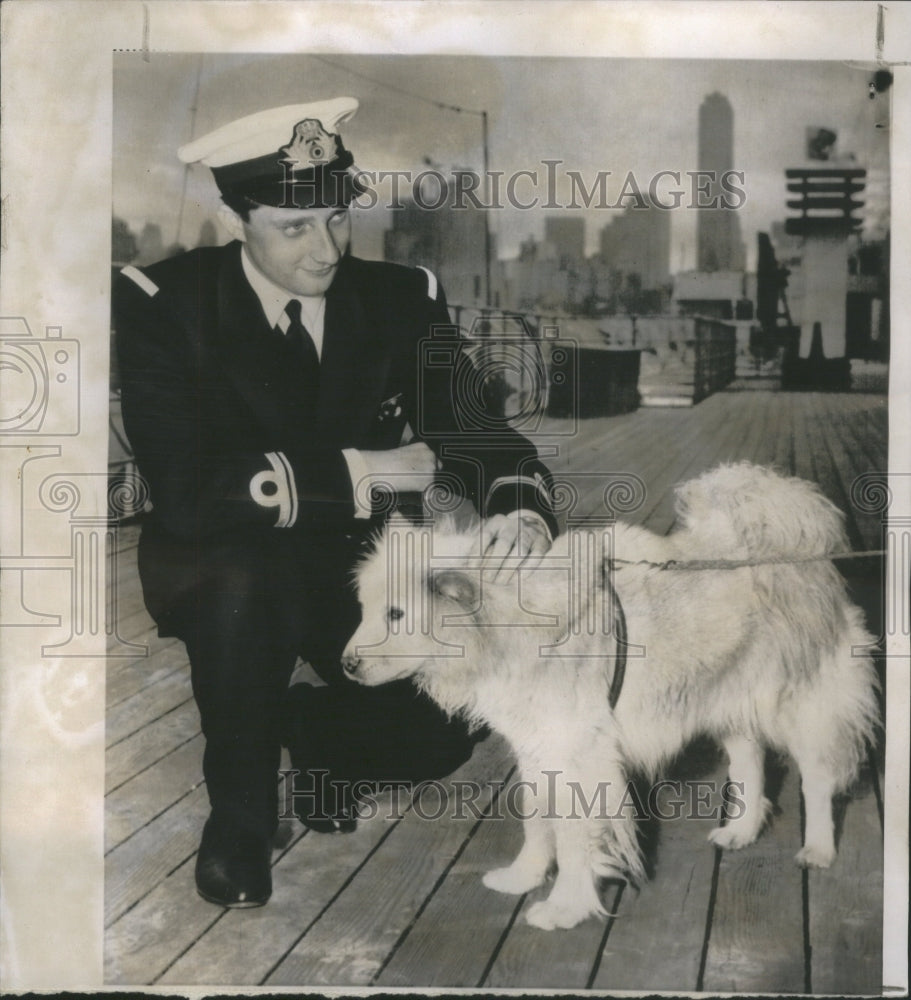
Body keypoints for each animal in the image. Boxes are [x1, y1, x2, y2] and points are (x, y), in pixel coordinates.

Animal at [340, 460, 876, 928]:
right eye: (366, 609)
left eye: (396, 615)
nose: (345, 665)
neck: (501, 623)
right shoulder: (539, 751)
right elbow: (537, 822)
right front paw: (524, 877)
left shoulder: (579, 759)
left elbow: (574, 840)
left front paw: (564, 907)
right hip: (727, 699)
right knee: (751, 764)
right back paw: (741, 831)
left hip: (802, 706)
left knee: (817, 780)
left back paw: (818, 849)